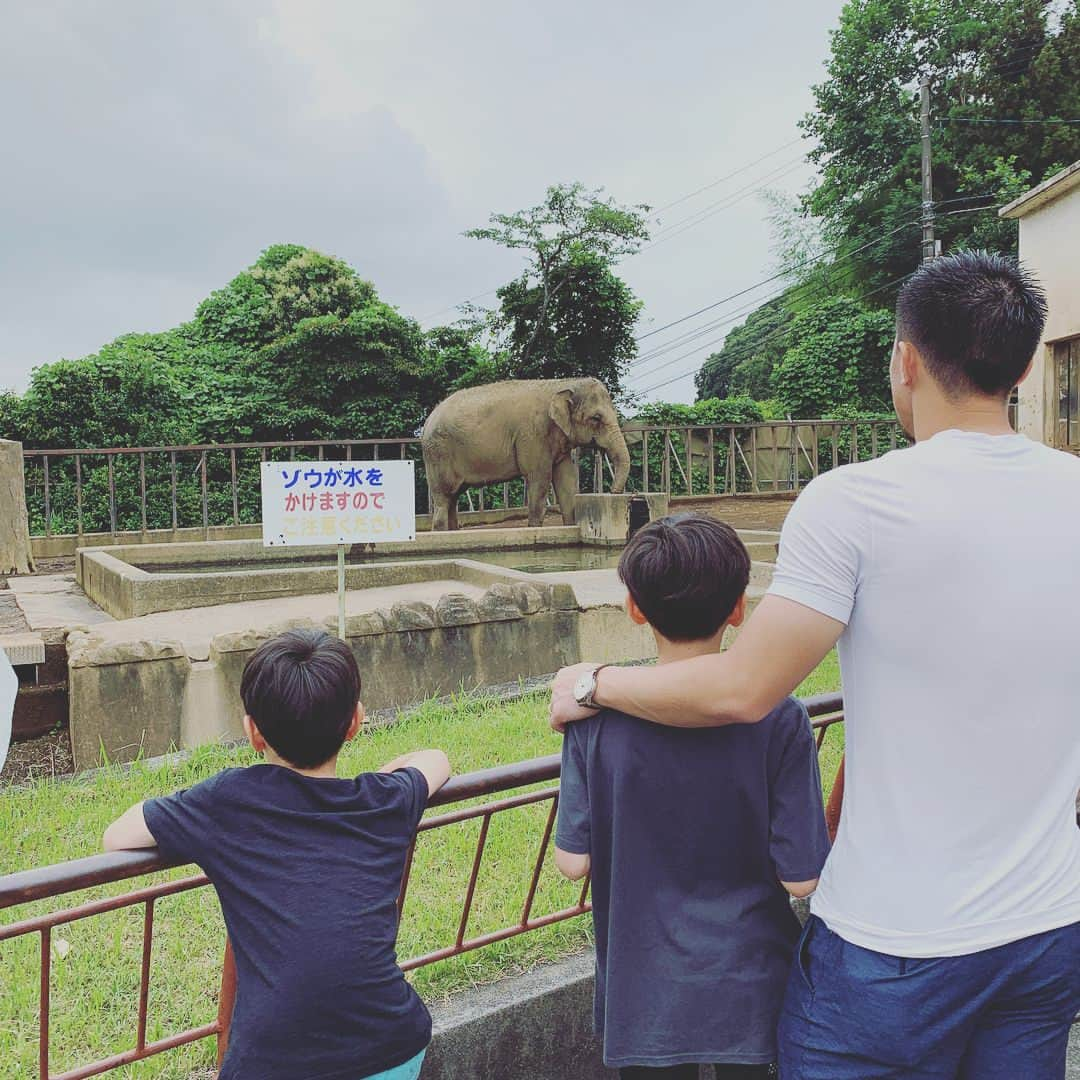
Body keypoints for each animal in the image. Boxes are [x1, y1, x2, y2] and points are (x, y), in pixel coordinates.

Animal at [416, 380, 630, 531]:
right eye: (596, 418)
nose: (613, 492)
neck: (561, 384)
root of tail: (428, 420)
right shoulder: (533, 435)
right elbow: (539, 479)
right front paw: (535, 529)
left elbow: (566, 480)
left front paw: (571, 526)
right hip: (438, 455)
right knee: (443, 498)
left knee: (452, 498)